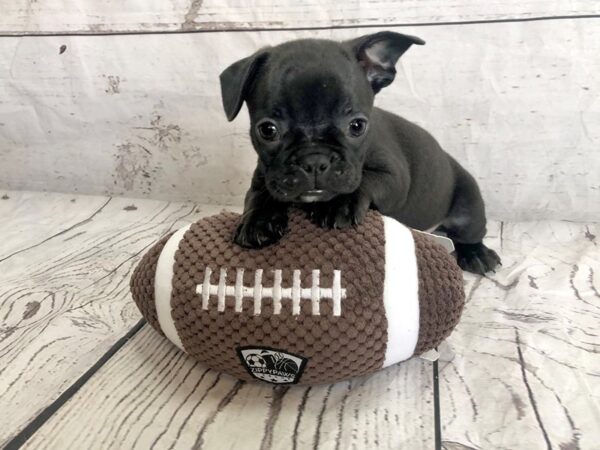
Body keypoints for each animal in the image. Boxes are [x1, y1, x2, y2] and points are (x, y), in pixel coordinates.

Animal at [220, 31, 502, 274]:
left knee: (471, 231)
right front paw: (258, 221)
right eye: (268, 130)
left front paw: (336, 204)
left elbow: (365, 180)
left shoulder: (394, 177)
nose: (314, 160)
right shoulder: (264, 177)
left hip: (468, 206)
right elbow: (259, 195)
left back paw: (477, 254)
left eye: (357, 126)